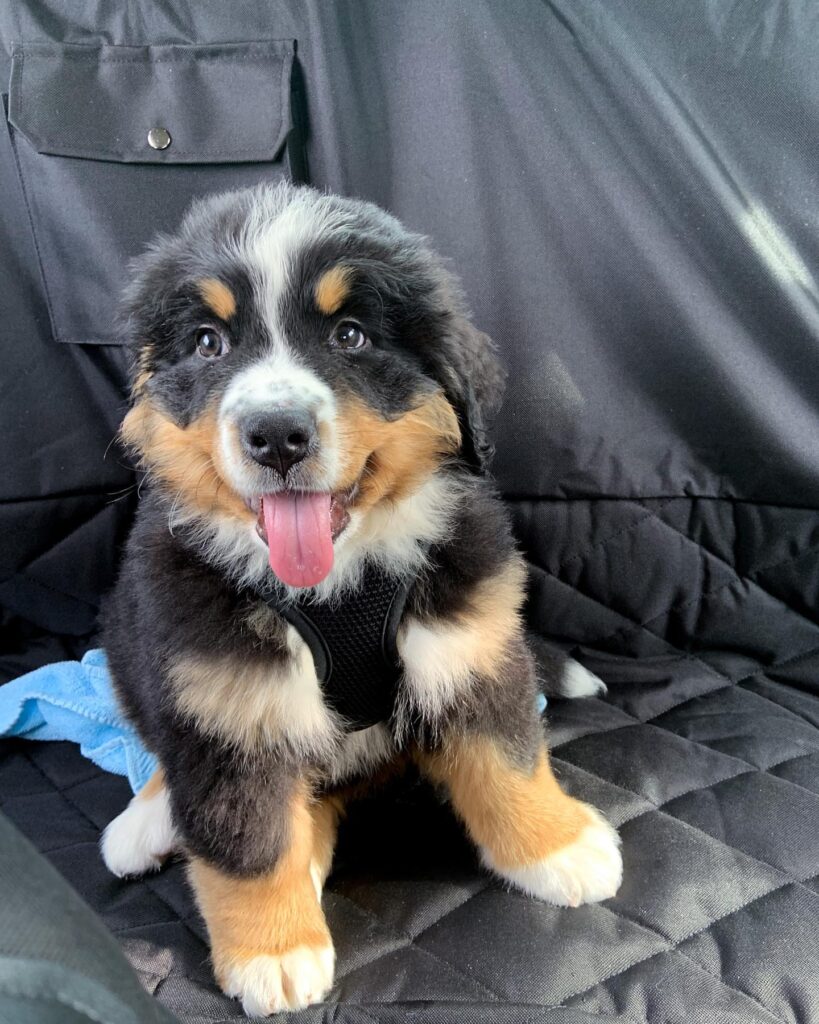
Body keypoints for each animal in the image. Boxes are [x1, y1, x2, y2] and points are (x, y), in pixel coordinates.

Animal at [99, 182, 622, 1015]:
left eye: (350, 335)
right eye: (209, 344)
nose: (276, 434)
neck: (334, 588)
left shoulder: (469, 643)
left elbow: (507, 758)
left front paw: (558, 846)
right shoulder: (226, 700)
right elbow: (247, 840)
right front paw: (274, 951)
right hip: (133, 638)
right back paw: (148, 821)